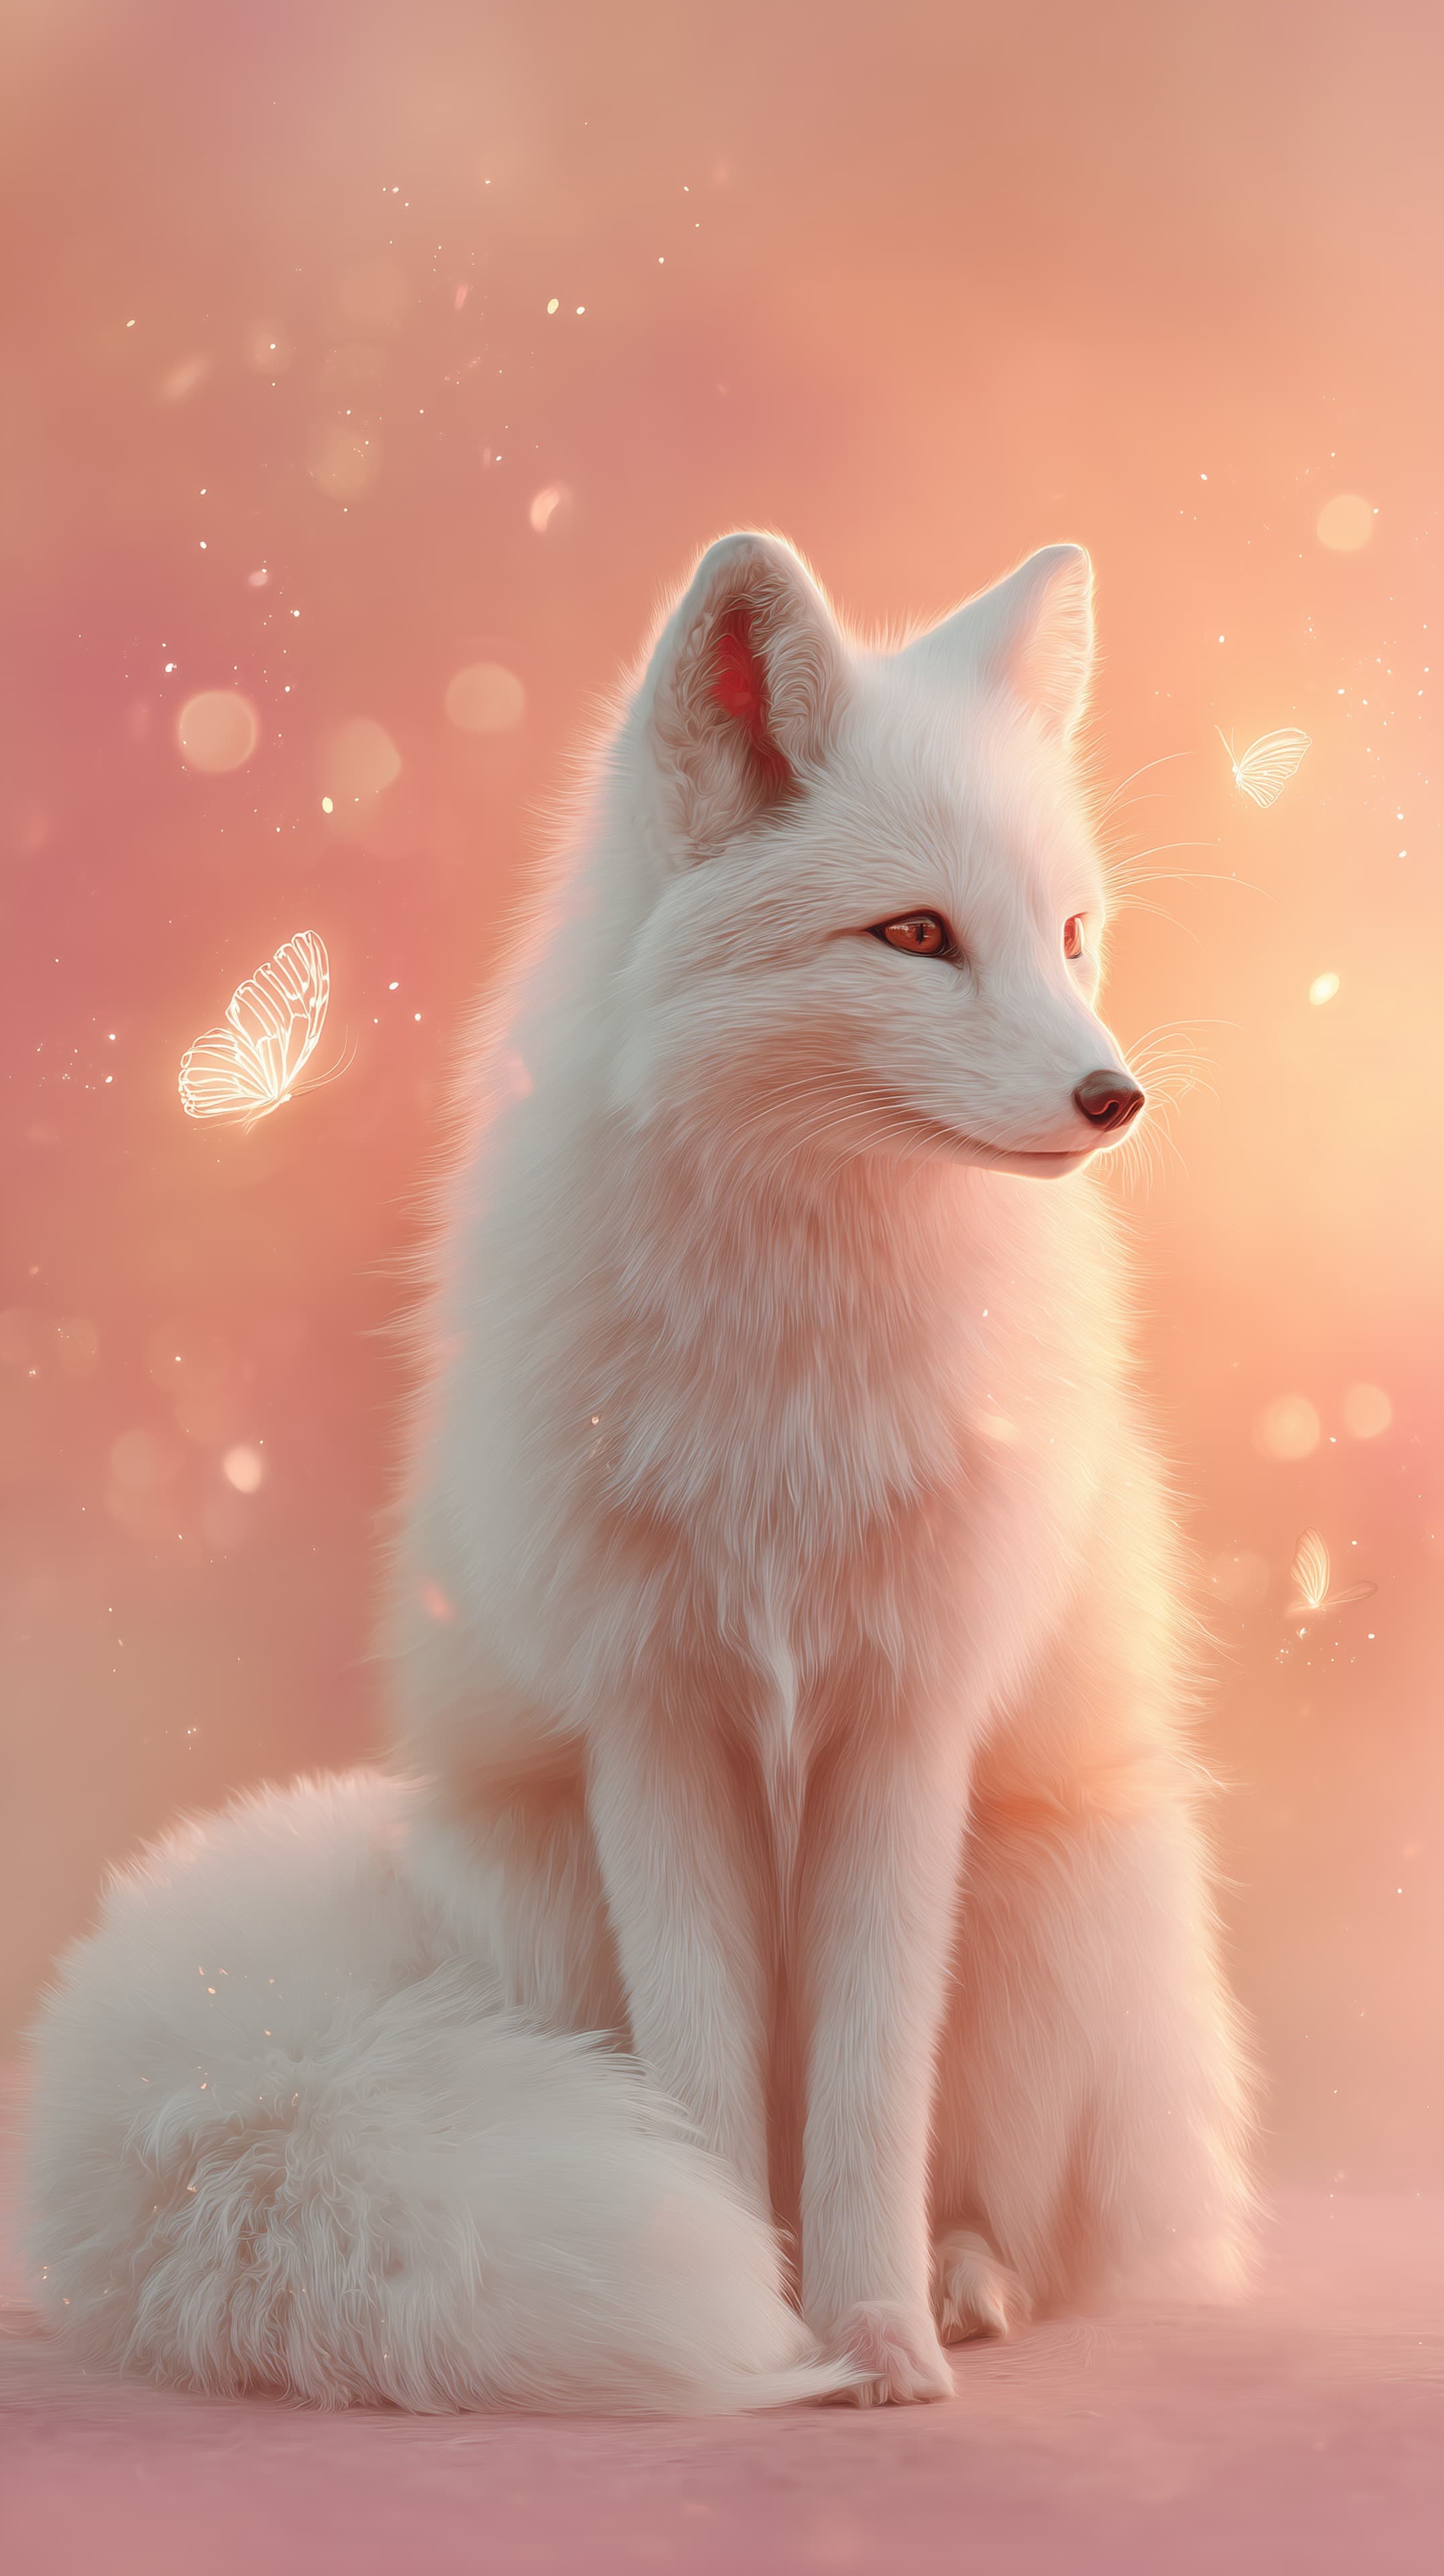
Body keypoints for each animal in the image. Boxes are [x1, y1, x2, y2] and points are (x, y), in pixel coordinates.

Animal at [26, 533, 1253, 2413]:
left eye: (1068, 935)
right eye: (914, 935)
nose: (1112, 1094)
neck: (789, 1388)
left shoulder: (906, 1717)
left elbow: (868, 2092)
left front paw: (876, 2339)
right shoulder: (653, 1720)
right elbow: (704, 2087)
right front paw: (756, 2319)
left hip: (1054, 1909)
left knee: (1038, 2221)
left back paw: (962, 2281)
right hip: (541, 1899)